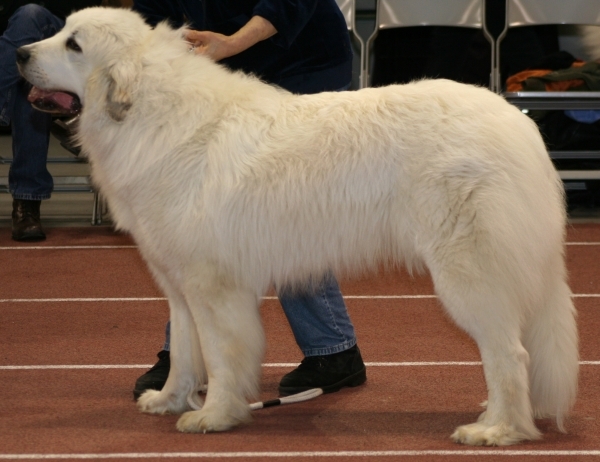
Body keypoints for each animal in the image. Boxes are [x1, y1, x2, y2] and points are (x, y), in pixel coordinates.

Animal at [18, 7, 580, 446]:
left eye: (73, 44)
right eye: (60, 30)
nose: (19, 53)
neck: (149, 112)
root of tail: (519, 124)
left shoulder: (213, 286)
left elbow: (220, 356)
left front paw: (214, 416)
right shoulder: (178, 286)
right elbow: (183, 352)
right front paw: (170, 400)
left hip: (470, 275)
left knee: (508, 353)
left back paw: (496, 429)